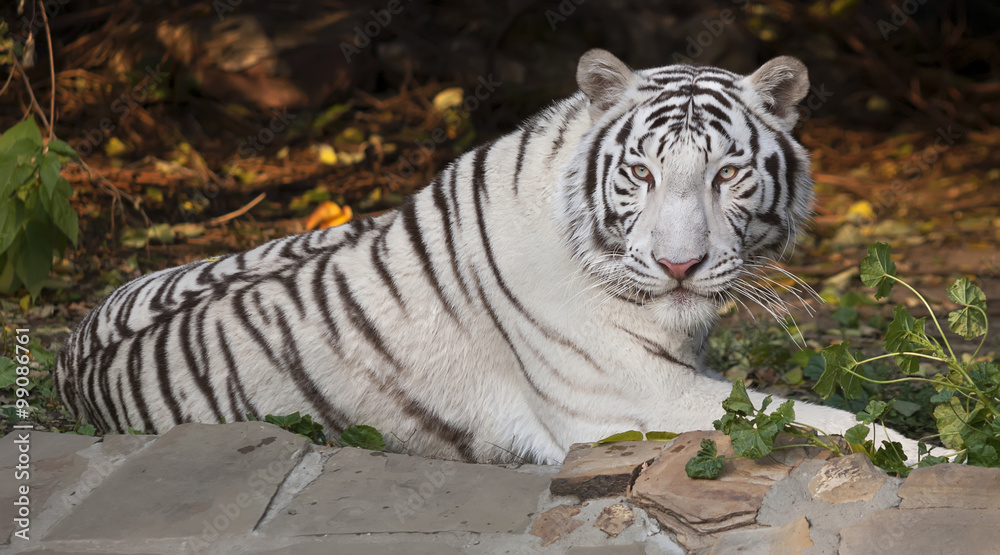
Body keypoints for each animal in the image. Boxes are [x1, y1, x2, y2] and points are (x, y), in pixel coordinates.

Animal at [54, 49, 918, 464]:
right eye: (641, 174)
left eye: (726, 174)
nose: (679, 266)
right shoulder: (636, 403)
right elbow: (829, 421)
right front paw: (935, 451)